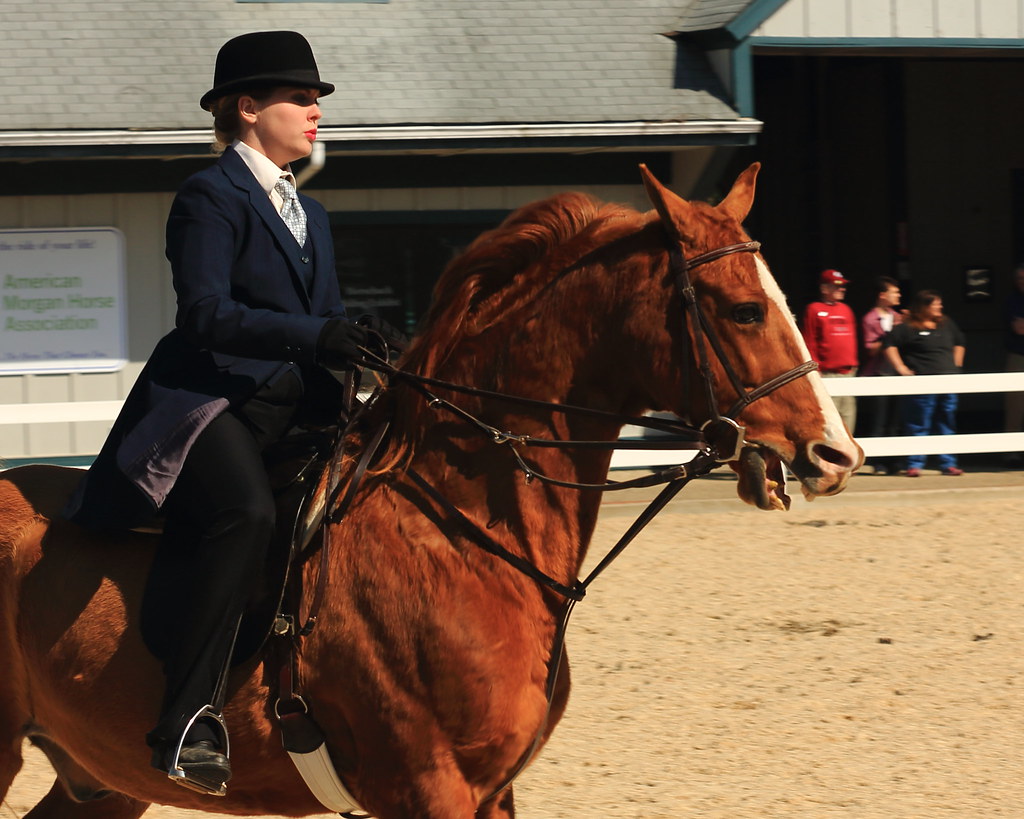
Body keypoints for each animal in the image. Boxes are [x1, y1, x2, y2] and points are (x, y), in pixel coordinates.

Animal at [0, 163, 862, 818]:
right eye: (743, 310)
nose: (835, 453)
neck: (463, 530)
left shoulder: (491, 790)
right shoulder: (429, 787)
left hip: (101, 776)